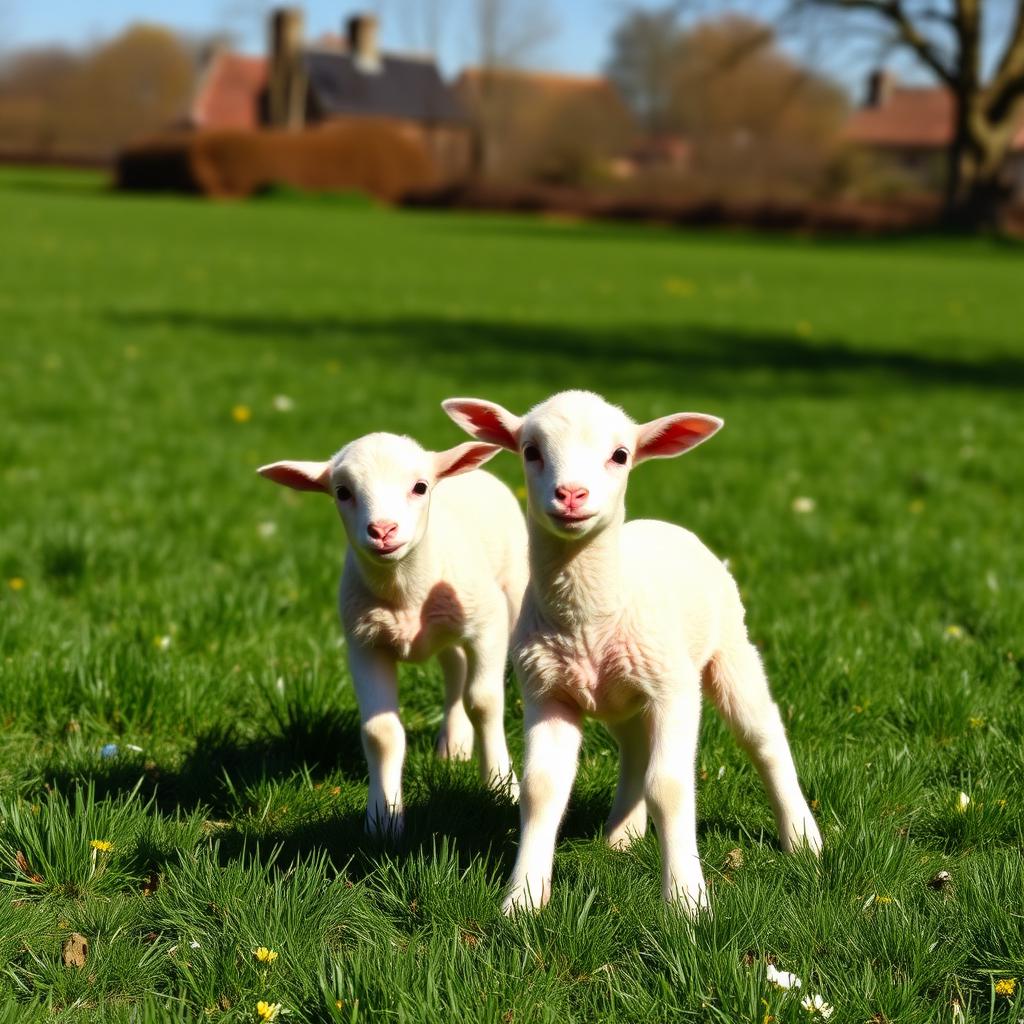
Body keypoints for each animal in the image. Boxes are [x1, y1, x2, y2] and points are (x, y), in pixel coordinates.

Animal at [258, 432, 528, 837]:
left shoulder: (487, 624)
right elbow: (380, 732)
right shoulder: (365, 645)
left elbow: (484, 702)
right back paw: (454, 743)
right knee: (454, 666)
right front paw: (383, 818)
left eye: (419, 487)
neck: (404, 590)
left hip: (510, 591)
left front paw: (501, 784)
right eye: (342, 492)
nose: (383, 530)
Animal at [442, 390, 822, 914]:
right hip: (619, 693)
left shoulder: (674, 690)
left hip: (729, 649)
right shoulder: (547, 692)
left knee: (763, 737)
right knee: (635, 748)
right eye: (530, 451)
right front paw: (522, 900)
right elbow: (541, 789)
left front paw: (686, 901)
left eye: (620, 455)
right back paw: (622, 835)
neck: (588, 619)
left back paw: (803, 838)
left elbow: (671, 787)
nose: (571, 494)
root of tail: (667, 525)